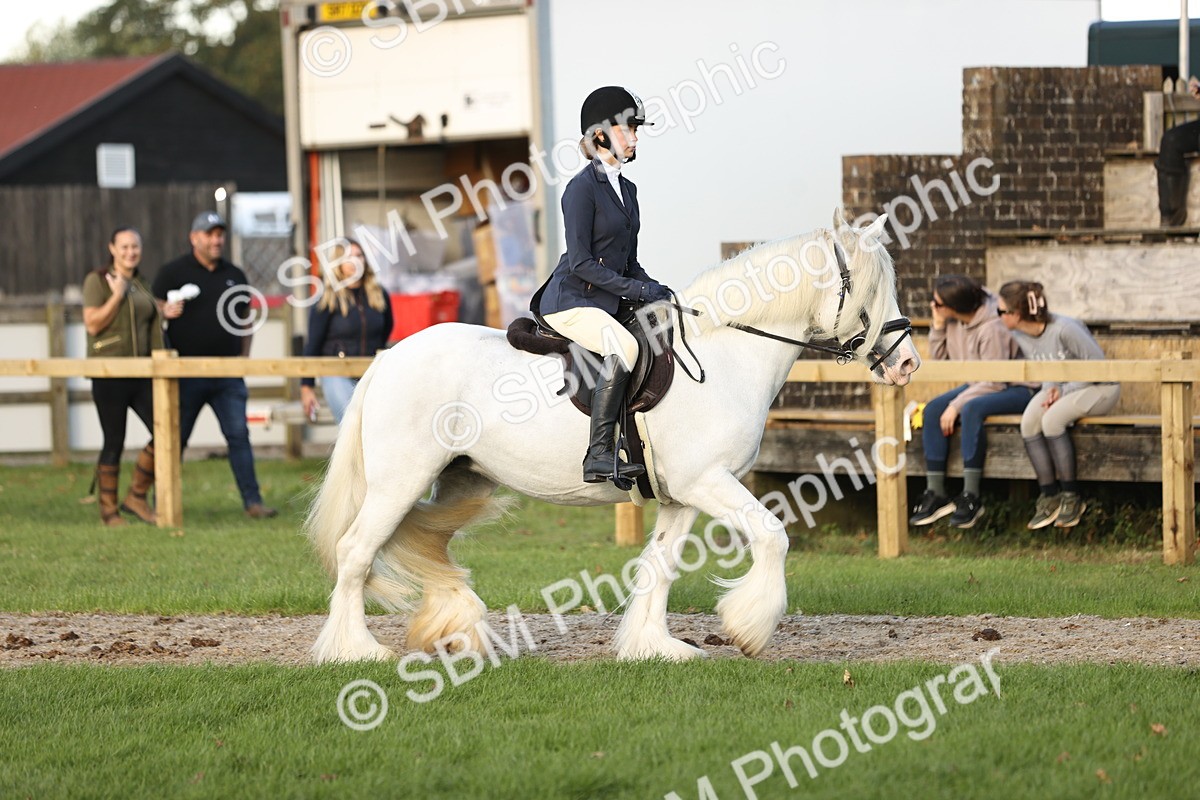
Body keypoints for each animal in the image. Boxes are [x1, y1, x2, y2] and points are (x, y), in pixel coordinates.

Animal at [305, 211, 921, 663]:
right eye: (871, 292)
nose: (908, 364)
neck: (725, 353)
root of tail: (389, 358)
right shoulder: (708, 482)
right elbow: (773, 536)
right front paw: (749, 628)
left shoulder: (682, 495)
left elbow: (660, 565)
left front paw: (655, 647)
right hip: (400, 480)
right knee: (356, 551)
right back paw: (354, 651)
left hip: (459, 479)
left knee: (426, 541)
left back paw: (454, 628)